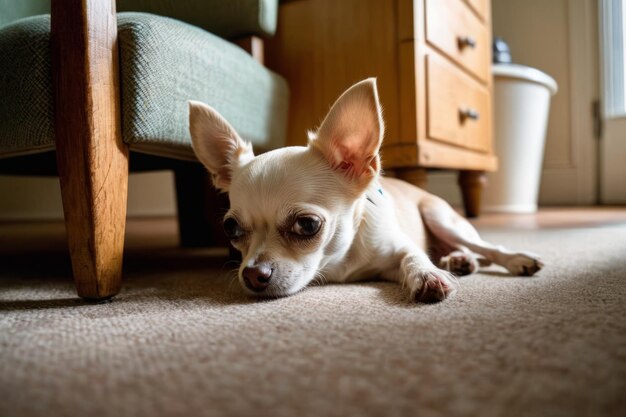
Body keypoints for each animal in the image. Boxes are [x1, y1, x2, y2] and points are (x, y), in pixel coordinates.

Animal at [188, 78, 540, 302]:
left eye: (307, 225)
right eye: (230, 229)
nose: (252, 274)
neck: (337, 261)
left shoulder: (398, 250)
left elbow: (414, 256)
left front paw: (427, 276)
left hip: (441, 217)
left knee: (487, 247)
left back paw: (513, 259)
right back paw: (459, 260)